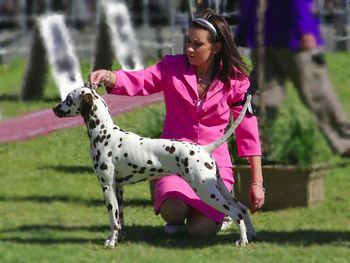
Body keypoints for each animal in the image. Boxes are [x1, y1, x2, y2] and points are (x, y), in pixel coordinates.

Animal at [53, 86, 258, 248]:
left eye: (69, 99)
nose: (54, 108)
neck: (104, 133)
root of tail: (204, 148)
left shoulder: (107, 186)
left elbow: (113, 219)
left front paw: (111, 242)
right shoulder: (118, 188)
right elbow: (120, 219)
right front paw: (118, 239)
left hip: (206, 191)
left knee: (235, 213)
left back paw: (242, 241)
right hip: (219, 188)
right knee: (242, 208)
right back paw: (251, 235)